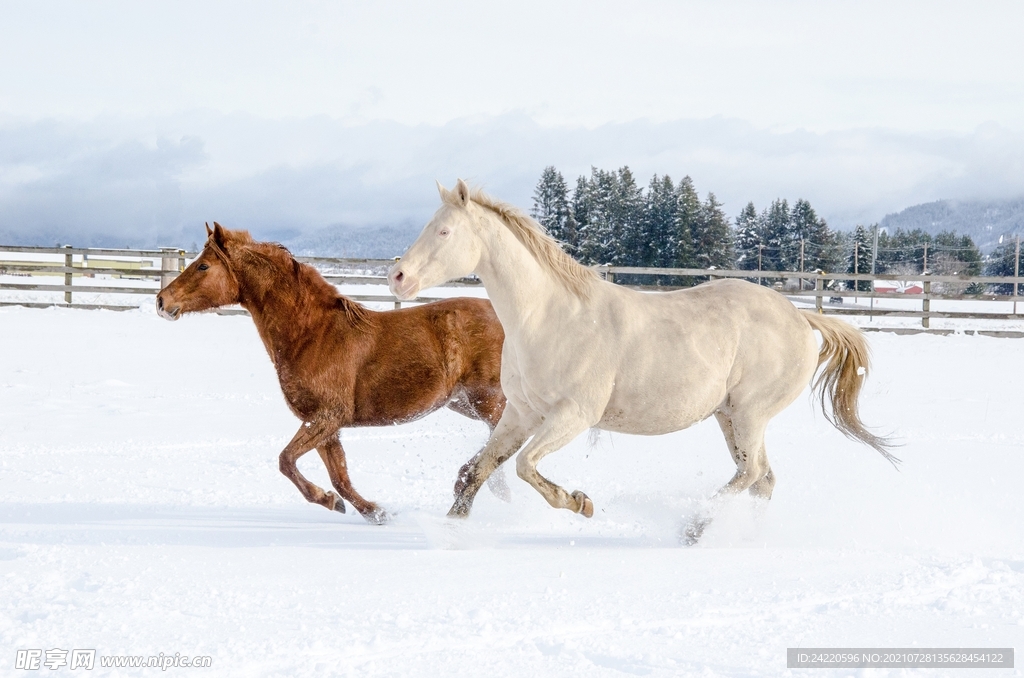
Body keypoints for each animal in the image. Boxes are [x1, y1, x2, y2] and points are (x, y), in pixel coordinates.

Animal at [157, 222, 508, 524]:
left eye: (204, 266)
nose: (162, 301)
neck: (312, 333)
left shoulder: (327, 416)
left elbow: (286, 460)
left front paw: (332, 500)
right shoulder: (327, 426)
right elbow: (340, 478)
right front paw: (373, 512)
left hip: (487, 400)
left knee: (504, 441)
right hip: (463, 402)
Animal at [388, 180, 895, 542]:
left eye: (444, 231)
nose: (398, 276)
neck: (549, 317)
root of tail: (801, 316)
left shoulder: (573, 415)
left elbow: (525, 467)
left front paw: (581, 502)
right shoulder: (521, 412)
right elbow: (479, 469)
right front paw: (452, 525)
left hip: (751, 413)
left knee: (751, 473)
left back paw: (694, 528)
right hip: (729, 416)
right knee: (761, 479)